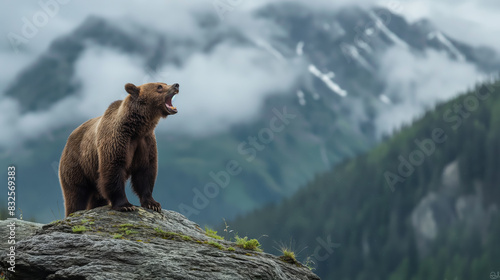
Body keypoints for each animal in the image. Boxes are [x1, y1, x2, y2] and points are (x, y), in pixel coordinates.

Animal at [59, 82, 180, 215]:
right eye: (159, 87)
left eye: (164, 83)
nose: (176, 85)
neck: (137, 128)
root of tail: (69, 138)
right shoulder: (116, 140)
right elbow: (113, 168)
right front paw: (125, 205)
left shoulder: (146, 142)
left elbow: (145, 171)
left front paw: (153, 204)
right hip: (77, 165)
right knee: (76, 194)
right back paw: (73, 211)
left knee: (96, 196)